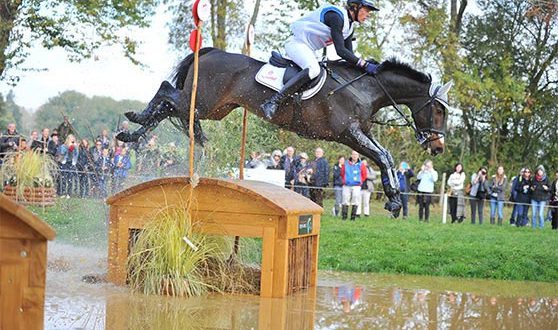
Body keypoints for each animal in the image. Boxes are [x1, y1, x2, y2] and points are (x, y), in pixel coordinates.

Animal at [119, 46, 456, 217]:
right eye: (439, 110)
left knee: (170, 106)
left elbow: (384, 157)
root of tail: (208, 52)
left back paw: (134, 133)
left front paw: (394, 198)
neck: (366, 89)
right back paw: (133, 124)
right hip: (203, 102)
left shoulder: (359, 133)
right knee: (167, 93)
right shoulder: (347, 133)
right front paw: (395, 201)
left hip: (215, 108)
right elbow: (383, 156)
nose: (438, 147)